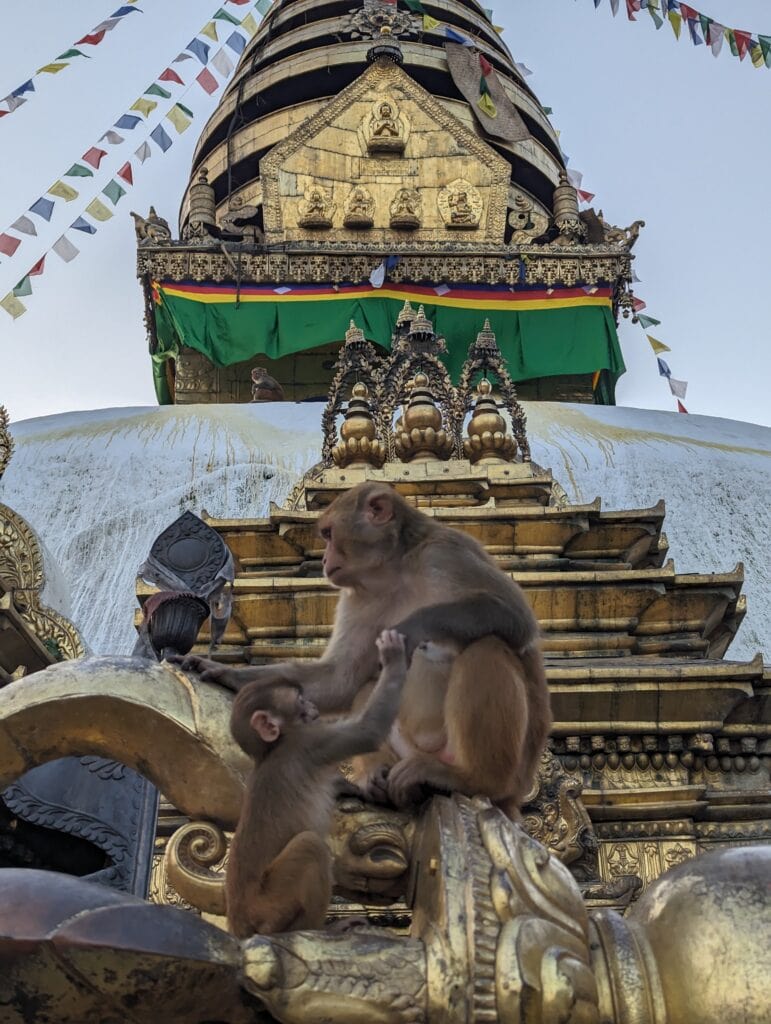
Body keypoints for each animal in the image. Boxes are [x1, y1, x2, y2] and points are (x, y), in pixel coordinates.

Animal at [173, 482, 551, 818]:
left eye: (328, 534)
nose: (325, 559)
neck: (396, 567)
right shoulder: (359, 596)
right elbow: (342, 679)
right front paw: (223, 672)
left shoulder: (447, 553)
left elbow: (515, 618)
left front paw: (411, 627)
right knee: (367, 687)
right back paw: (378, 782)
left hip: (509, 770)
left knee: (488, 646)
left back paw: (471, 778)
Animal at [226, 628, 407, 939]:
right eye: (299, 701)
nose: (311, 705)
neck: (272, 750)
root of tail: (240, 927)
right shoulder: (310, 741)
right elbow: (368, 731)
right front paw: (393, 657)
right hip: (269, 908)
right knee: (309, 846)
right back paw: (319, 929)